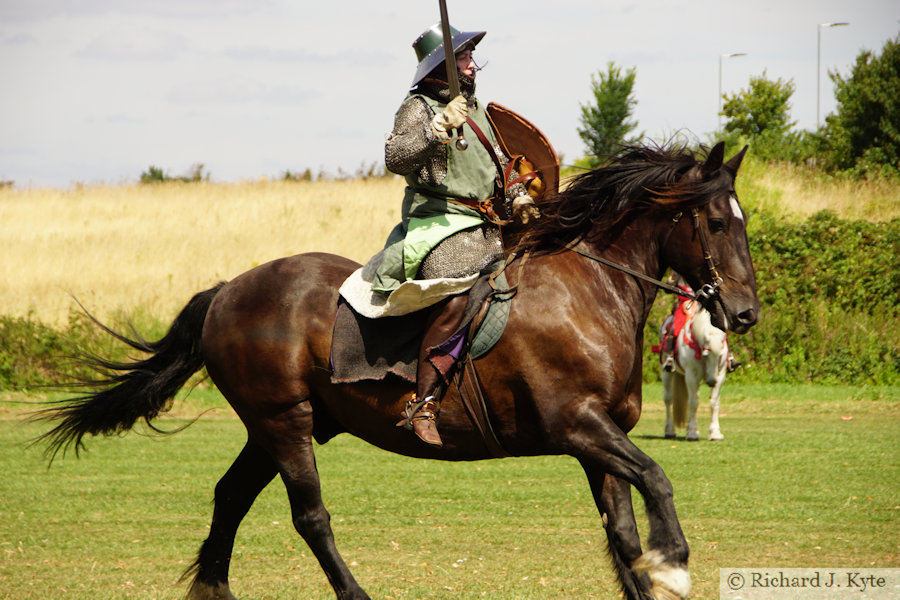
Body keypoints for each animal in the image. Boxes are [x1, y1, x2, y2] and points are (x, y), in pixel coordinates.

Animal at [660, 304, 732, 440]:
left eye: (720, 356)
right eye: (706, 354)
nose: (711, 382)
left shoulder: (720, 375)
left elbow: (714, 402)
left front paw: (715, 433)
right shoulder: (691, 376)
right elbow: (693, 402)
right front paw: (693, 433)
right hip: (666, 373)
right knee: (668, 399)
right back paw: (670, 431)